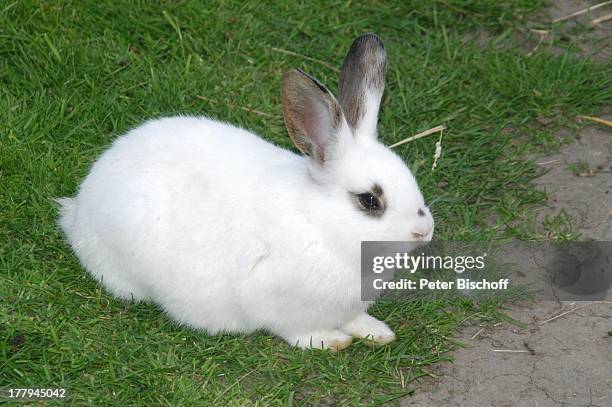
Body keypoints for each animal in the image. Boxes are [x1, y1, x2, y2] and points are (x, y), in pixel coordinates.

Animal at [56, 33, 430, 352]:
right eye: (369, 200)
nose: (425, 230)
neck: (319, 225)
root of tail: (79, 207)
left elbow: (357, 319)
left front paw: (378, 332)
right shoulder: (279, 303)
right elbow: (300, 331)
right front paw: (330, 341)